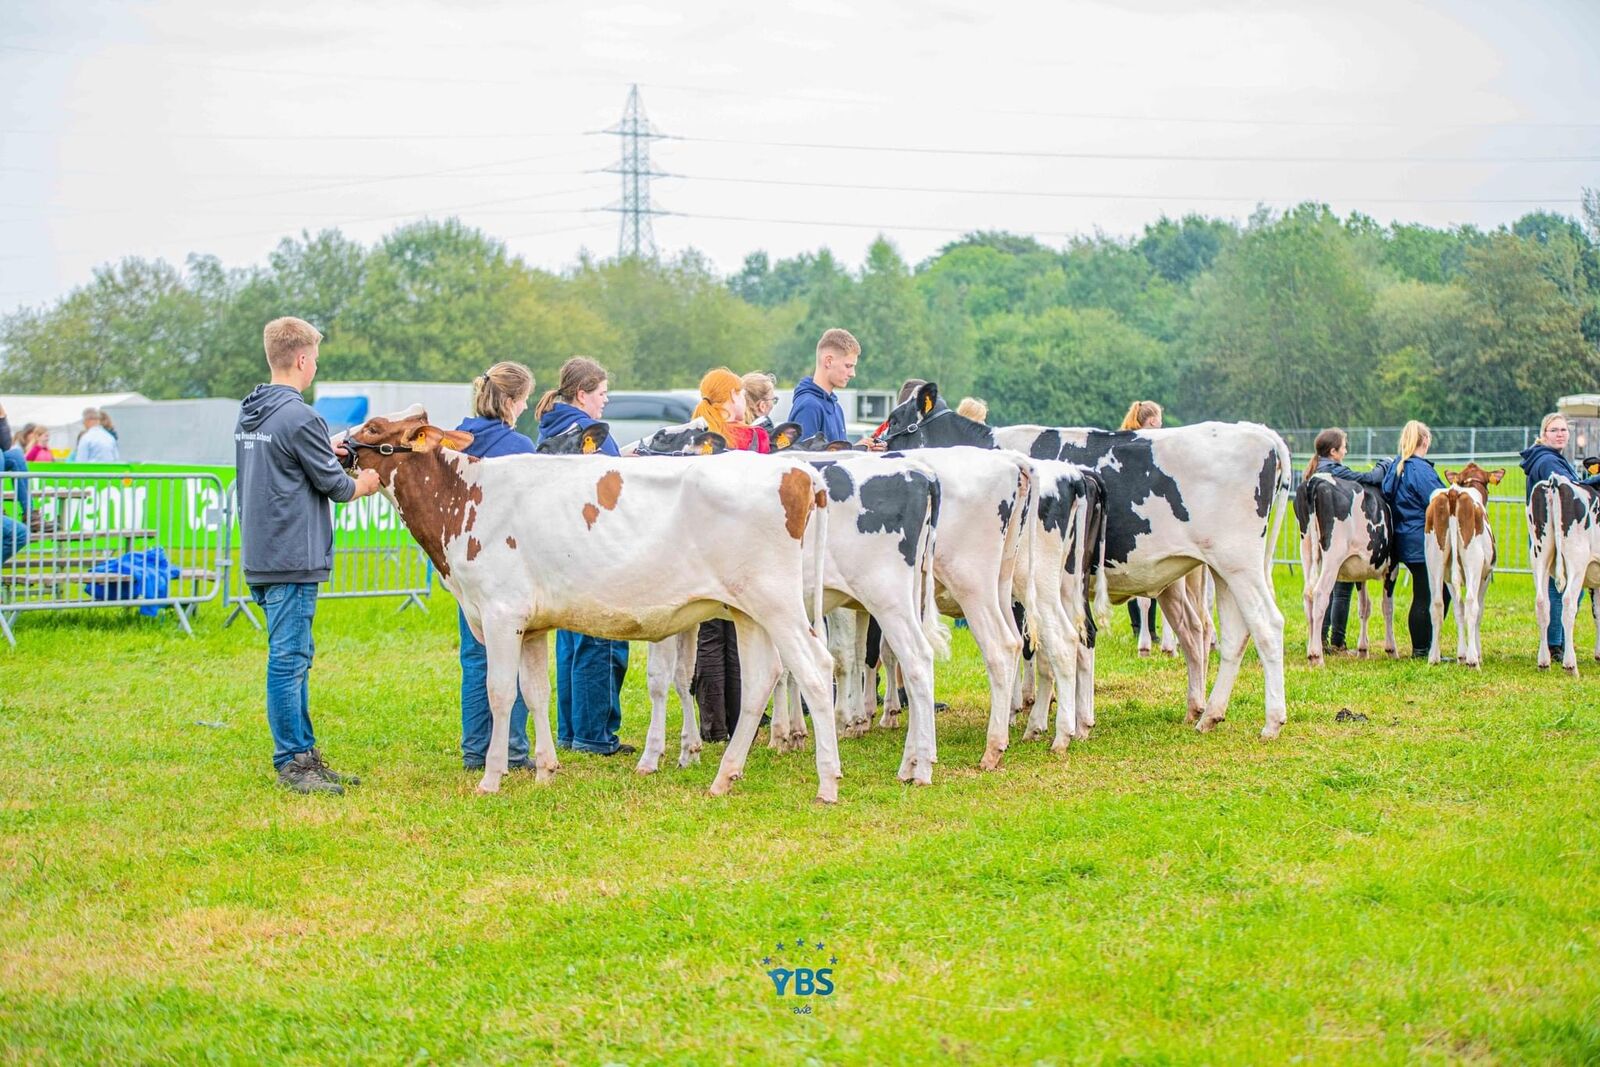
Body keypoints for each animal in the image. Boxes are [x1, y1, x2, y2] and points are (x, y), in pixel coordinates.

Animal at [345, 409, 844, 799]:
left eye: (372, 426)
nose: (336, 446)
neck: (464, 499)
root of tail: (798, 471)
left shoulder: (501, 613)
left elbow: (501, 693)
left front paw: (491, 778)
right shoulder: (531, 625)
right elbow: (537, 693)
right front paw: (546, 770)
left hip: (776, 601)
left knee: (816, 667)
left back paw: (827, 782)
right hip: (747, 609)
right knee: (764, 678)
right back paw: (725, 776)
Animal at [1427, 460, 1497, 662]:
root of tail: (1453, 494)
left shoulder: (1449, 579)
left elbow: (1457, 610)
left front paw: (1461, 654)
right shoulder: (1485, 576)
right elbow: (1478, 611)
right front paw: (1475, 653)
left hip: (1434, 562)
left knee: (1436, 604)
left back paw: (1433, 657)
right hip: (1473, 562)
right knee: (1472, 603)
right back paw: (1473, 659)